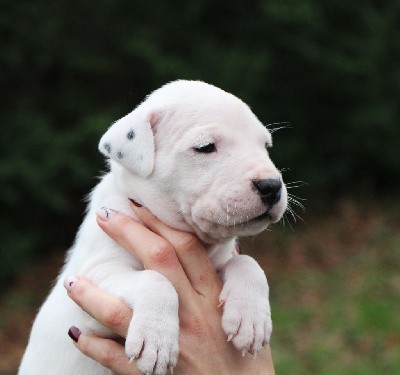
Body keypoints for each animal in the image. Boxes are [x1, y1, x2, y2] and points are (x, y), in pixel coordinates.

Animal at [19, 81, 288, 375]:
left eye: (265, 145)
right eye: (206, 147)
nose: (272, 186)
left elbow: (248, 263)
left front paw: (251, 320)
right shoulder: (91, 291)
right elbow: (155, 280)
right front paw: (155, 339)